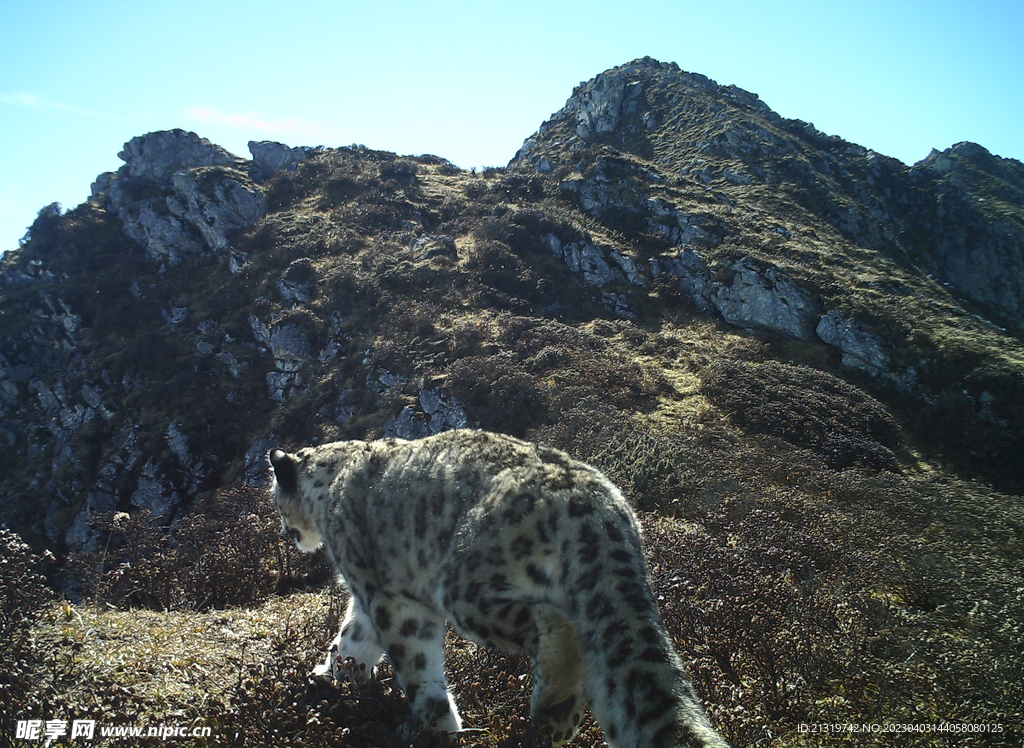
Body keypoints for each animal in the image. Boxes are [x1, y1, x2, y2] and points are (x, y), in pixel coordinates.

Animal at [266, 426, 729, 745]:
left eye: (274, 499)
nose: (289, 534)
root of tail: (595, 506)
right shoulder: (367, 599)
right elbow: (351, 639)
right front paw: (327, 677)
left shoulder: (391, 596)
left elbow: (414, 663)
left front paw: (435, 728)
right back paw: (558, 719)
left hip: (466, 586)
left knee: (556, 627)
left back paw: (553, 709)